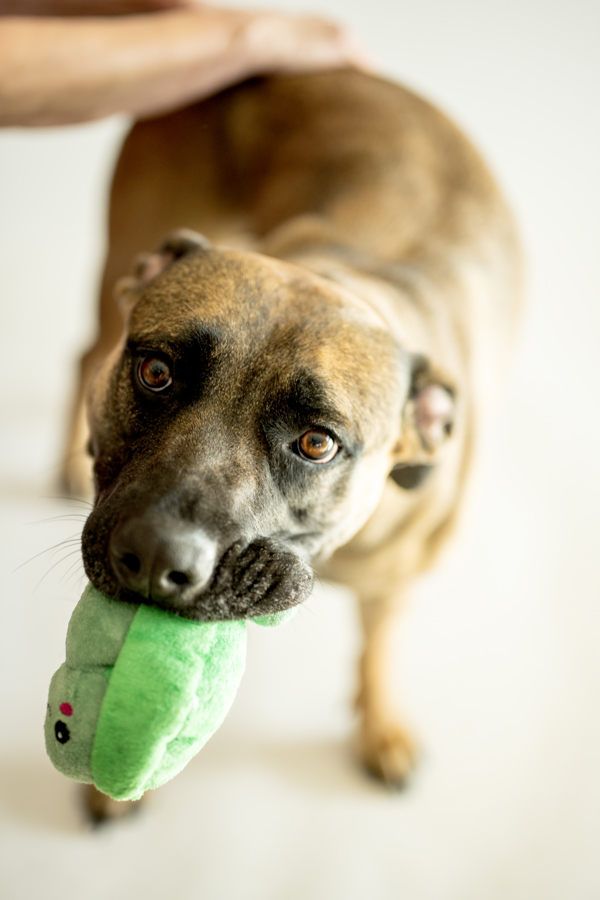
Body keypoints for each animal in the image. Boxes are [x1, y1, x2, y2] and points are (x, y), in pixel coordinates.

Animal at [62, 70, 520, 824]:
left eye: (316, 443)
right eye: (156, 373)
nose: (156, 555)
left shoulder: (398, 581)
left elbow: (379, 647)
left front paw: (381, 724)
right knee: (82, 355)